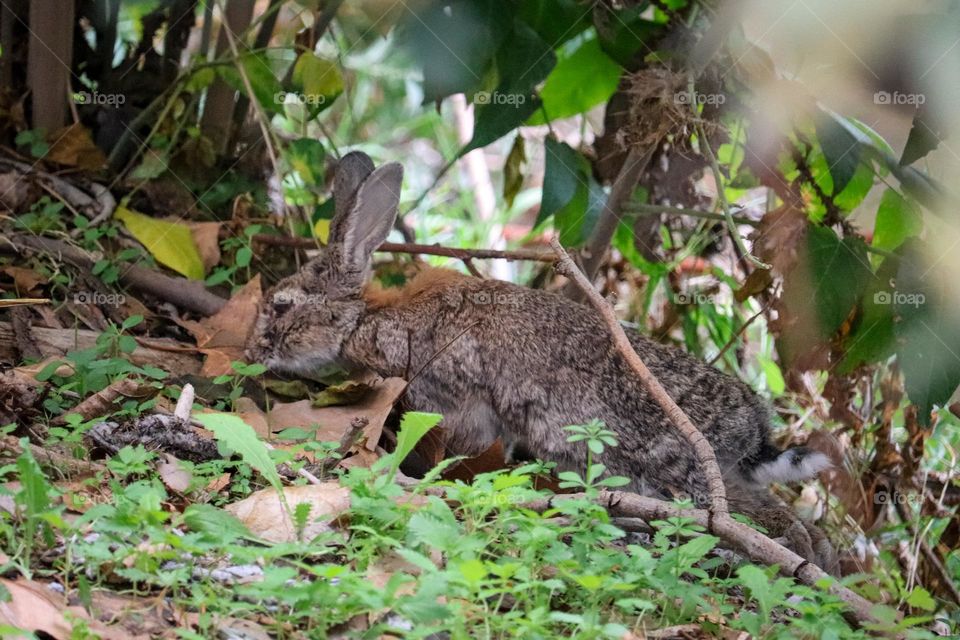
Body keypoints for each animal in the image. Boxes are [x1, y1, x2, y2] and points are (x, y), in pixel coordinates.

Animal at [246, 152, 832, 572]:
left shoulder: (453, 401)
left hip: (673, 471)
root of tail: (752, 429)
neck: (367, 320)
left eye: (282, 306)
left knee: (761, 523)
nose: (251, 352)